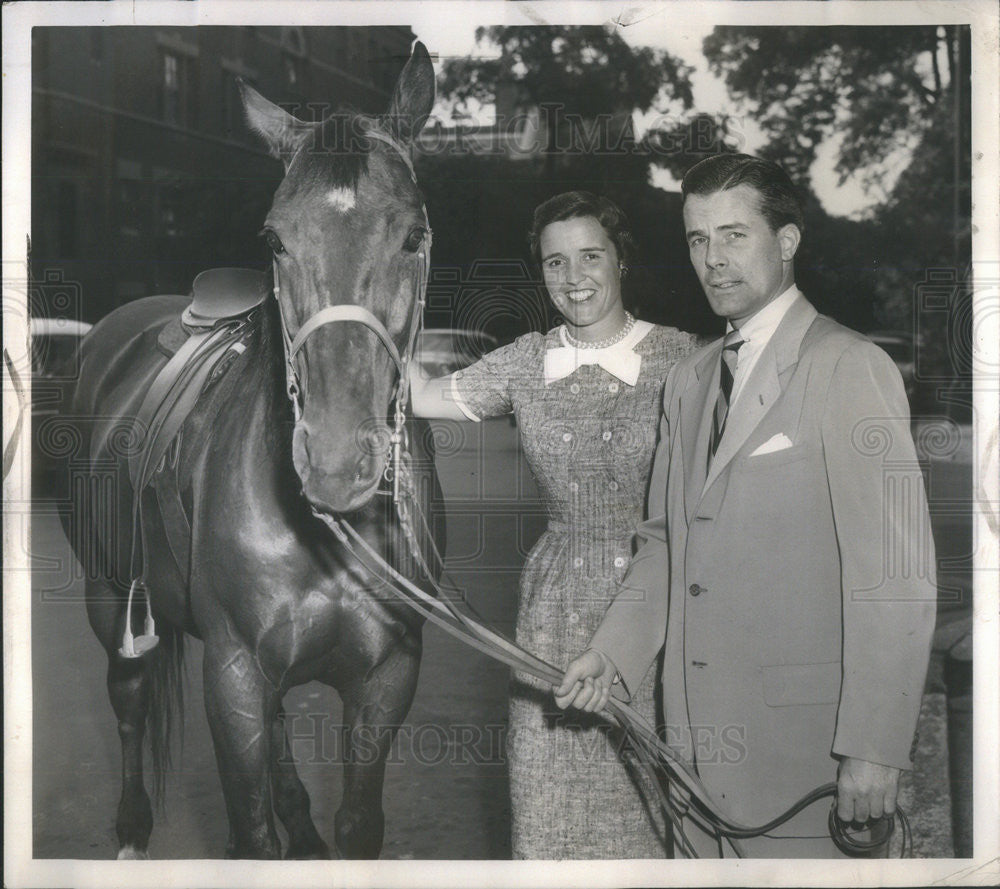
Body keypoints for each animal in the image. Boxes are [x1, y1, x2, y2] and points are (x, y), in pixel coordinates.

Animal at [58, 43, 442, 860]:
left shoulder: (389, 676)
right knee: (130, 704)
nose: (336, 459)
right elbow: (250, 832)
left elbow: (359, 824)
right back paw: (133, 828)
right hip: (112, 599)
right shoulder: (231, 672)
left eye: (413, 235)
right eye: (274, 239)